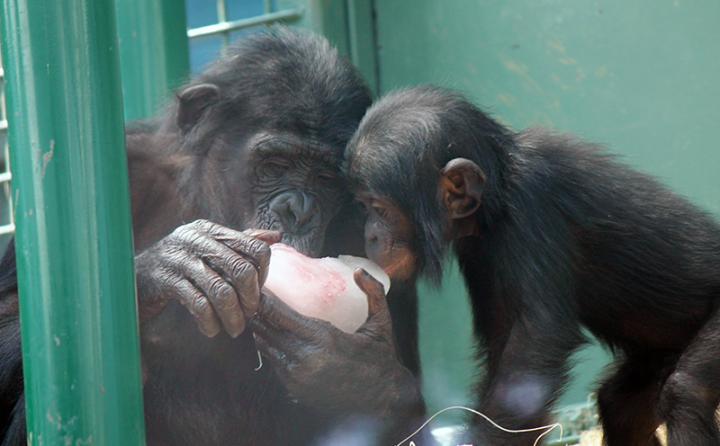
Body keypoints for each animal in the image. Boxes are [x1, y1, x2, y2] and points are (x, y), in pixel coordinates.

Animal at [0, 29, 424, 444]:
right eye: (274, 164)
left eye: (325, 178)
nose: (299, 210)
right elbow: (14, 312)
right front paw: (169, 265)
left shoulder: (383, 223)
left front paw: (356, 373)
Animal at [344, 84, 720, 446]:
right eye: (362, 205)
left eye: (379, 208)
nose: (369, 234)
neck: (498, 191)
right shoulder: (479, 252)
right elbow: (503, 345)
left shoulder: (532, 206)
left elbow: (534, 343)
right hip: (656, 359)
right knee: (620, 407)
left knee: (686, 391)